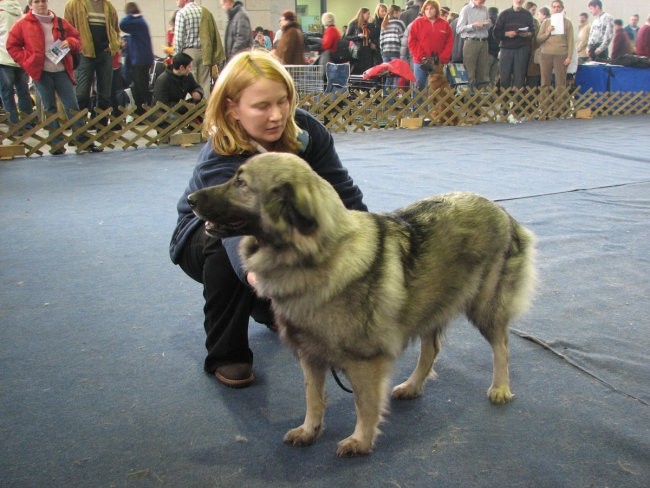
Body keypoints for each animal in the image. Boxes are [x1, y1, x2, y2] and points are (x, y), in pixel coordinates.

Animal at [185, 152, 536, 458]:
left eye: (241, 183)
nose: (190, 200)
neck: (317, 256)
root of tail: (502, 212)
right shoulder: (311, 356)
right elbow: (313, 397)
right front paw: (309, 431)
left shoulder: (364, 361)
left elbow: (365, 405)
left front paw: (361, 441)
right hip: (429, 305)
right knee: (431, 349)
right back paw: (412, 386)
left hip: (483, 306)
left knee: (501, 346)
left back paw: (500, 388)